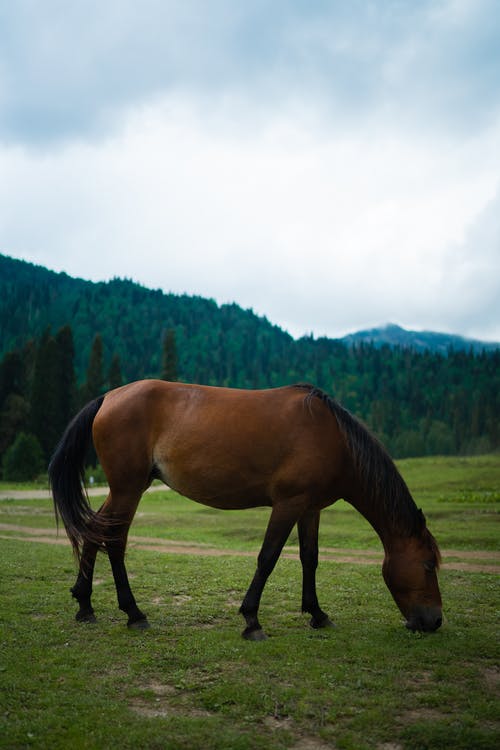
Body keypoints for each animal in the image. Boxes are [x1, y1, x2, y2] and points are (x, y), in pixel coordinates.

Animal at [48, 382, 444, 640]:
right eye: (427, 565)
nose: (434, 621)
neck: (334, 439)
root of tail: (108, 397)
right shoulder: (287, 505)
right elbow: (268, 558)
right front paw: (252, 620)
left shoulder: (309, 508)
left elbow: (310, 558)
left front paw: (317, 614)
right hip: (128, 489)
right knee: (113, 540)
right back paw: (133, 613)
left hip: (126, 489)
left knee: (94, 531)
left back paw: (85, 605)